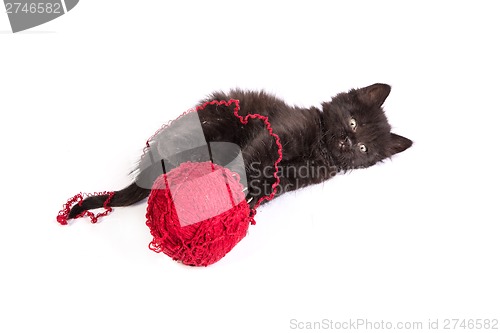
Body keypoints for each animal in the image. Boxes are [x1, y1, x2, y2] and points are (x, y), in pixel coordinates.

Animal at [68, 83, 412, 218]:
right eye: (353, 122)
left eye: (364, 149)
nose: (347, 143)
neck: (320, 146)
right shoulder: (274, 134)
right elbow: (250, 160)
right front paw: (233, 190)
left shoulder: (294, 176)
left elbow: (270, 185)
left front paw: (252, 200)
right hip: (212, 130)